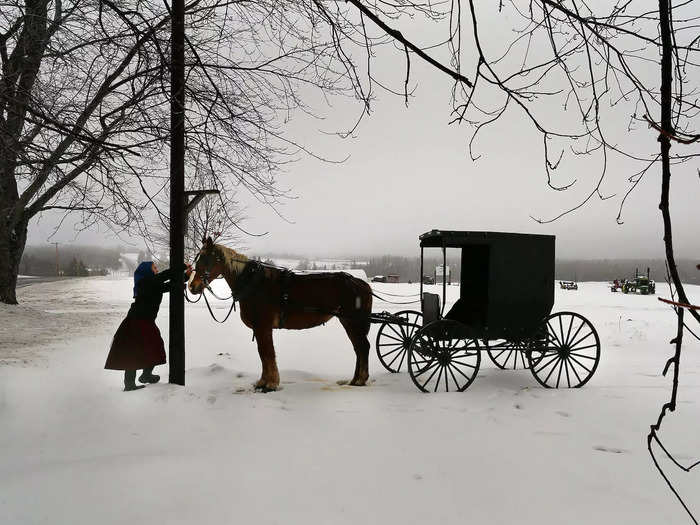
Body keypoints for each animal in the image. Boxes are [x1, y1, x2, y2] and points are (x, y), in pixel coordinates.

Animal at [186, 236, 372, 388]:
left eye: (206, 260)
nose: (192, 287)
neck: (254, 284)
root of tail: (360, 283)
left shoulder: (263, 327)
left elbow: (267, 353)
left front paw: (271, 384)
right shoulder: (260, 329)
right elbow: (263, 353)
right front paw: (263, 381)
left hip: (353, 321)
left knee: (363, 347)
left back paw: (360, 380)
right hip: (347, 321)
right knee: (358, 348)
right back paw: (355, 380)